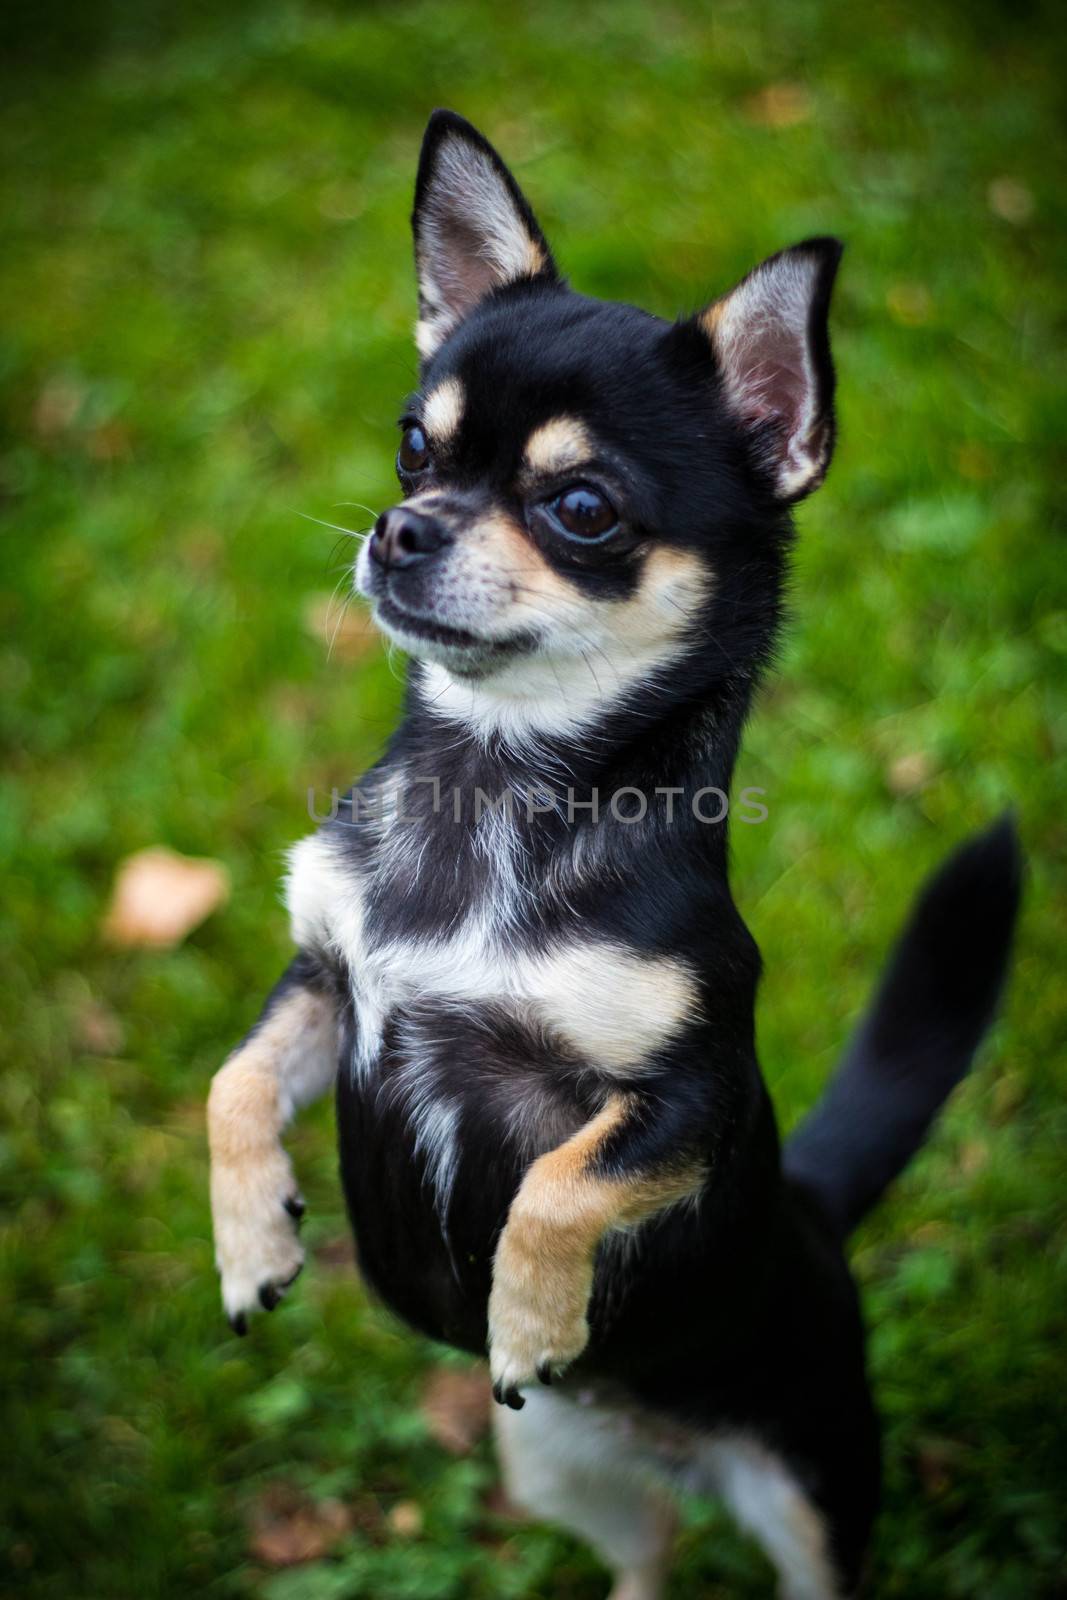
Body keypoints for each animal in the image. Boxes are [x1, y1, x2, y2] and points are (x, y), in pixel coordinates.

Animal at [206, 106, 1017, 1593]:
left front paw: (526, 1321)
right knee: (642, 1558)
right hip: (560, 1474)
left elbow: (557, 1188)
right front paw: (252, 1243)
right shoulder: (331, 985)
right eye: (412, 449)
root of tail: (812, 1212)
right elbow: (231, 1085)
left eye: (580, 508)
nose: (397, 529)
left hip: (812, 1492)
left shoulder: (684, 1101)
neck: (486, 787)